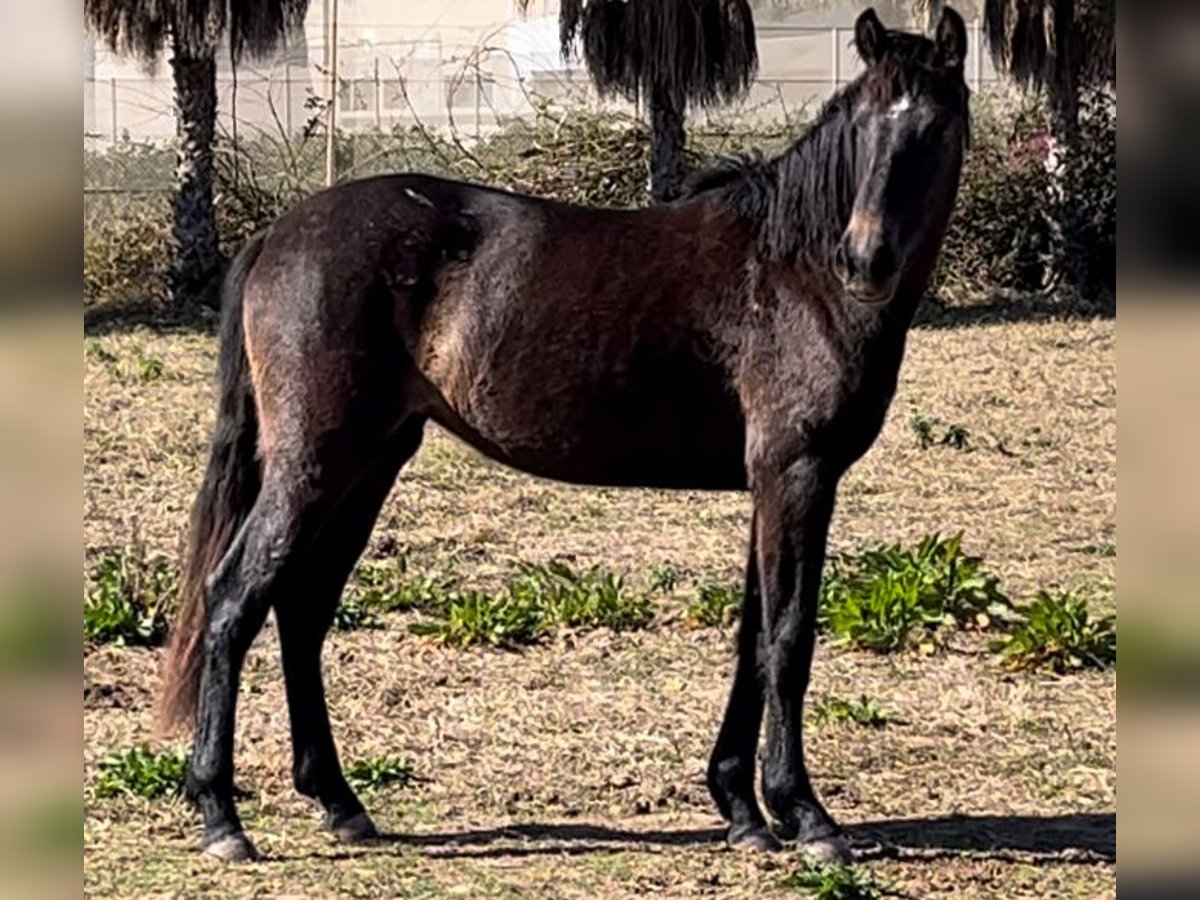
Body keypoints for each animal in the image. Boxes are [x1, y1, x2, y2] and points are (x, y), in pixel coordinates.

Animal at [162, 8, 964, 868]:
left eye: (931, 125)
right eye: (867, 124)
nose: (865, 260)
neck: (792, 271)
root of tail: (278, 235)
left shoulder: (771, 484)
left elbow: (753, 640)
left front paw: (741, 808)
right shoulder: (799, 475)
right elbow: (787, 641)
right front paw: (805, 815)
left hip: (369, 462)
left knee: (303, 606)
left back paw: (341, 803)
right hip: (314, 463)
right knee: (236, 597)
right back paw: (221, 815)